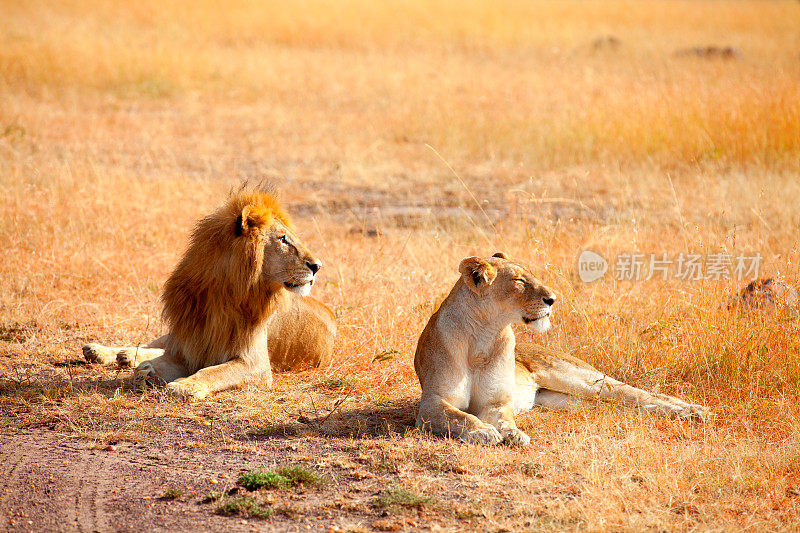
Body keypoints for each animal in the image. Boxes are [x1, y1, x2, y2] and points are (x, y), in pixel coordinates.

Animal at [80, 188, 332, 400]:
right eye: (282, 239)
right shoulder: (187, 343)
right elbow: (162, 361)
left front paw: (184, 385)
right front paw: (147, 372)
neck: (222, 295)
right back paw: (103, 351)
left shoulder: (257, 365)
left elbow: (212, 371)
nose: (317, 266)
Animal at [416, 254, 708, 444]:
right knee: (628, 405)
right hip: (570, 401)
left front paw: (513, 434)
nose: (553, 299)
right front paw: (484, 431)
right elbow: (459, 416)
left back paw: (693, 411)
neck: (483, 334)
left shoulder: (496, 402)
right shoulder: (431, 403)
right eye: (520, 281)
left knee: (641, 394)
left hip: (581, 379)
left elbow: (505, 417)